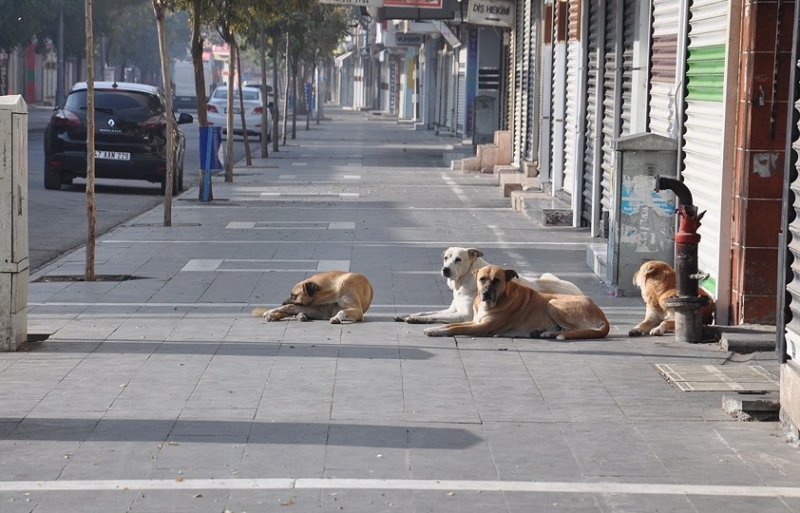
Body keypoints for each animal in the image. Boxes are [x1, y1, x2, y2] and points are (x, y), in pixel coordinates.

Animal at [394, 245, 580, 324]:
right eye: (446, 258)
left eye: (458, 259)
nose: (445, 269)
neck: (465, 280)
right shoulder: (451, 309)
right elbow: (426, 311)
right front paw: (407, 315)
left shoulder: (463, 315)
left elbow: (433, 316)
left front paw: (415, 319)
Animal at [422, 264, 608, 340]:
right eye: (482, 279)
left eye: (496, 280)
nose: (486, 293)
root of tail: (602, 316)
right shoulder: (475, 321)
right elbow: (451, 325)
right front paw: (435, 328)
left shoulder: (483, 327)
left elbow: (454, 328)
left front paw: (434, 331)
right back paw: (543, 333)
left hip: (553, 304)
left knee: (573, 330)